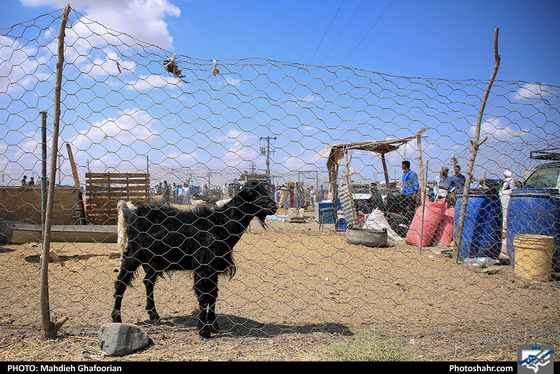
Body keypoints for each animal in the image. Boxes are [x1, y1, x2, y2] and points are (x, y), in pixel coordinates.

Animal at [110, 181, 276, 338]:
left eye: (265, 189)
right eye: (251, 192)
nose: (273, 206)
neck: (220, 225)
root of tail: (134, 213)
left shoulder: (213, 269)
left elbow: (213, 295)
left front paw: (214, 324)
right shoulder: (202, 267)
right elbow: (203, 297)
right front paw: (204, 330)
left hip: (156, 260)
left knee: (148, 282)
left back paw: (153, 314)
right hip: (134, 253)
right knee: (121, 282)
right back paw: (116, 317)